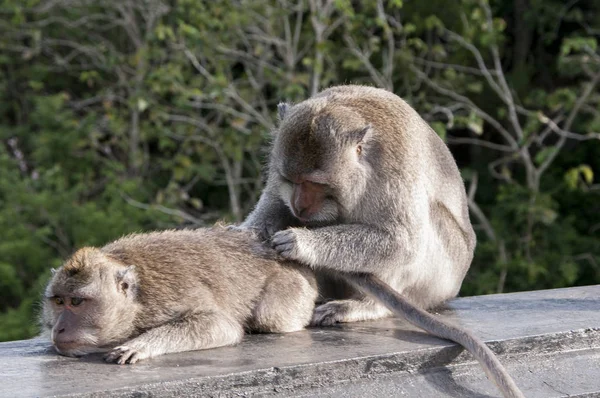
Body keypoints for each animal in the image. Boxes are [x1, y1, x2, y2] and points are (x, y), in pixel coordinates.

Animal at [39, 227, 316, 364]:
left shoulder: (165, 298)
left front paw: (139, 345)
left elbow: (220, 324)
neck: (137, 301)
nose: (59, 328)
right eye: (59, 301)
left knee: (270, 317)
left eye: (76, 302)